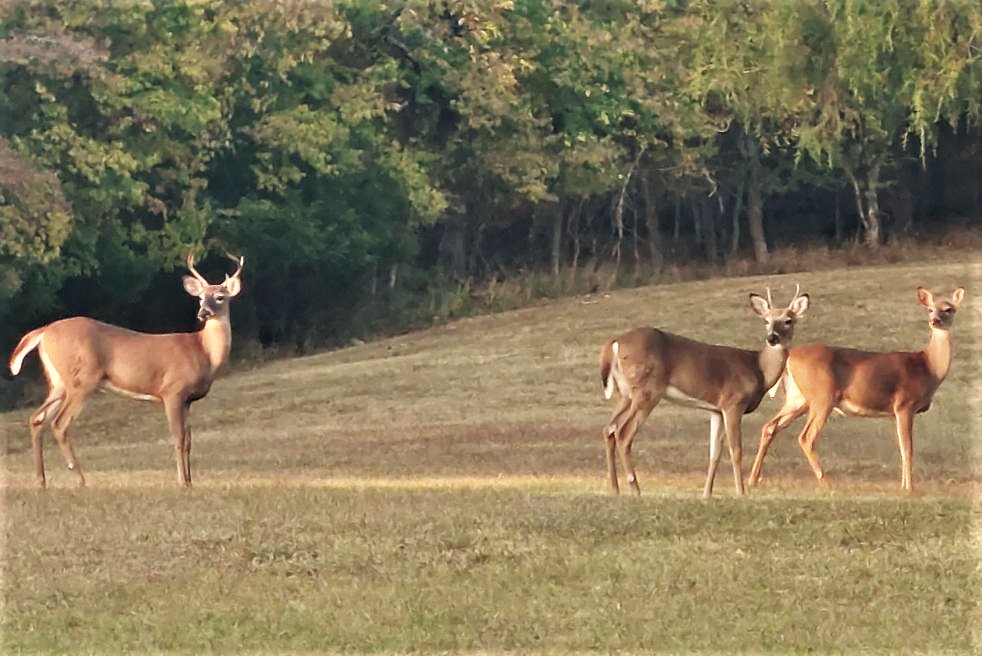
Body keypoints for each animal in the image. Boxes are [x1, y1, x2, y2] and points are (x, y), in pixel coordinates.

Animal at [8, 252, 244, 488]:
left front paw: (190, 480)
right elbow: (178, 438)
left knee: (37, 419)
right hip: (82, 380)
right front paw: (181, 482)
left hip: (58, 383)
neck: (203, 351)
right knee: (59, 424)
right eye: (201, 298)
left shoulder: (188, 400)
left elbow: (188, 441)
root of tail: (44, 331)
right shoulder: (172, 391)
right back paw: (81, 480)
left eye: (220, 297)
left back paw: (41, 481)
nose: (203, 313)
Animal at [599, 286, 811, 498]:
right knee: (623, 432)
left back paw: (614, 488)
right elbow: (736, 450)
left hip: (625, 393)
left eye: (788, 320)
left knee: (609, 428)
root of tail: (614, 342)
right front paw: (741, 492)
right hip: (647, 391)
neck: (758, 369)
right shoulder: (733, 403)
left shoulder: (716, 410)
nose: (772, 337)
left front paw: (706, 493)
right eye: (766, 321)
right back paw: (635, 488)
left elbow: (714, 453)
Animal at [748, 286, 966, 493]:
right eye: (930, 309)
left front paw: (905, 486)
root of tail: (789, 357)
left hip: (798, 399)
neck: (928, 367)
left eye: (949, 309)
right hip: (822, 397)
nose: (935, 320)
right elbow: (907, 448)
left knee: (770, 426)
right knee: (806, 437)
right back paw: (826, 483)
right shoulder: (904, 404)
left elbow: (903, 447)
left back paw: (752, 480)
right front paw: (909, 488)